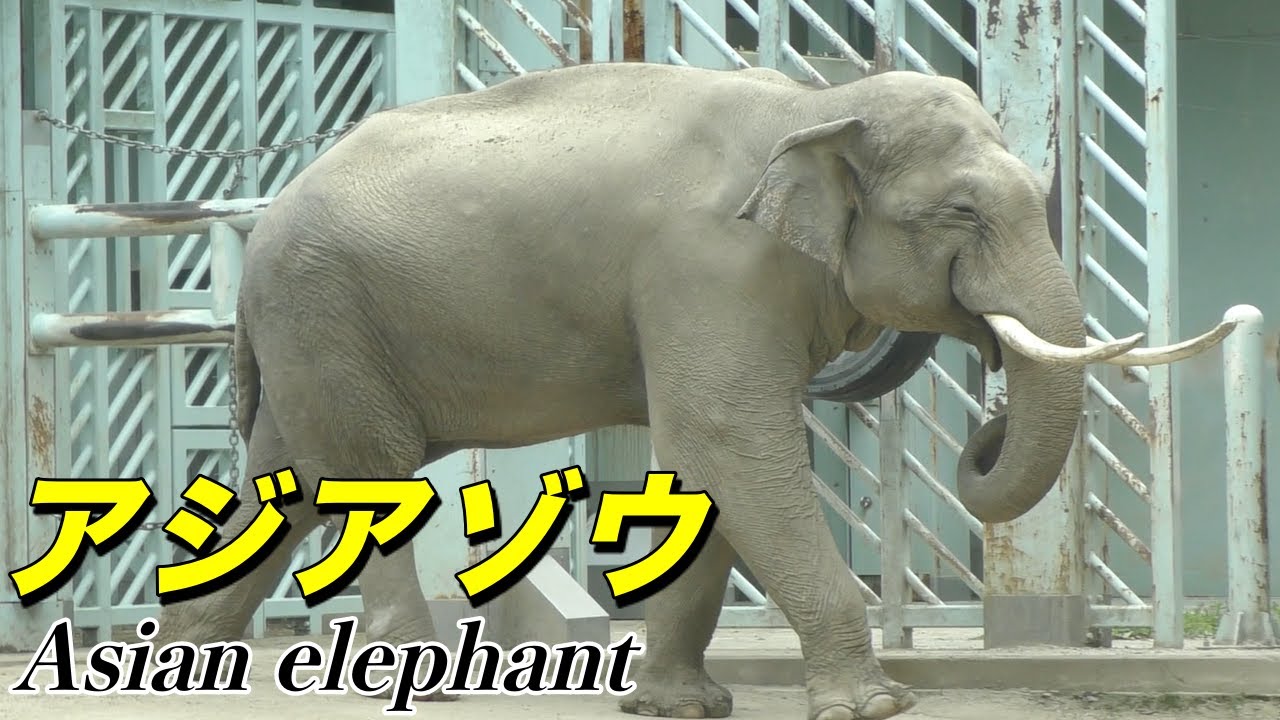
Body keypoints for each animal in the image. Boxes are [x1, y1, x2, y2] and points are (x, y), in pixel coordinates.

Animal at [153, 61, 1221, 720]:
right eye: (960, 212)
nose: (990, 415)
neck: (820, 102)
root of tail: (264, 217)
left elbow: (702, 468)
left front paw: (677, 706)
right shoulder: (711, 267)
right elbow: (728, 441)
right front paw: (874, 706)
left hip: (316, 329)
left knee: (282, 479)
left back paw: (188, 667)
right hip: (323, 310)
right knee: (360, 472)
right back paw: (411, 684)